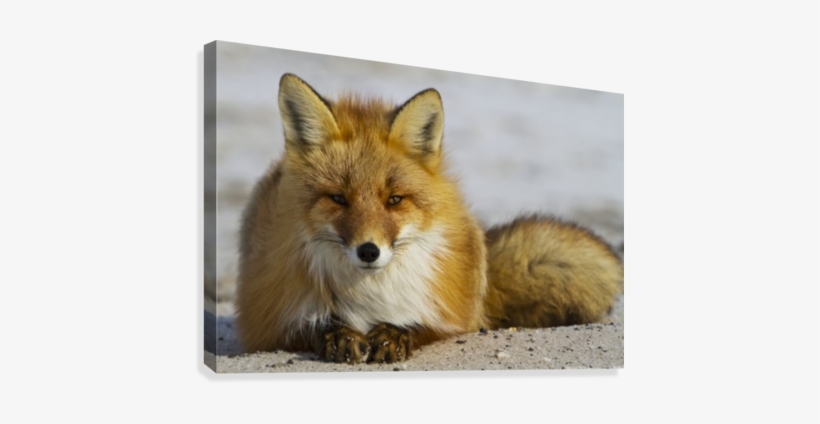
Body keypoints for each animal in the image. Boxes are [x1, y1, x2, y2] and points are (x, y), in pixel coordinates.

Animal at [235, 73, 624, 364]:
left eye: (394, 200)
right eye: (338, 199)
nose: (369, 251)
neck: (368, 295)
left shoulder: (451, 315)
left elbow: (423, 325)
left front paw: (393, 334)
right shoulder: (267, 321)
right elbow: (310, 326)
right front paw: (338, 334)